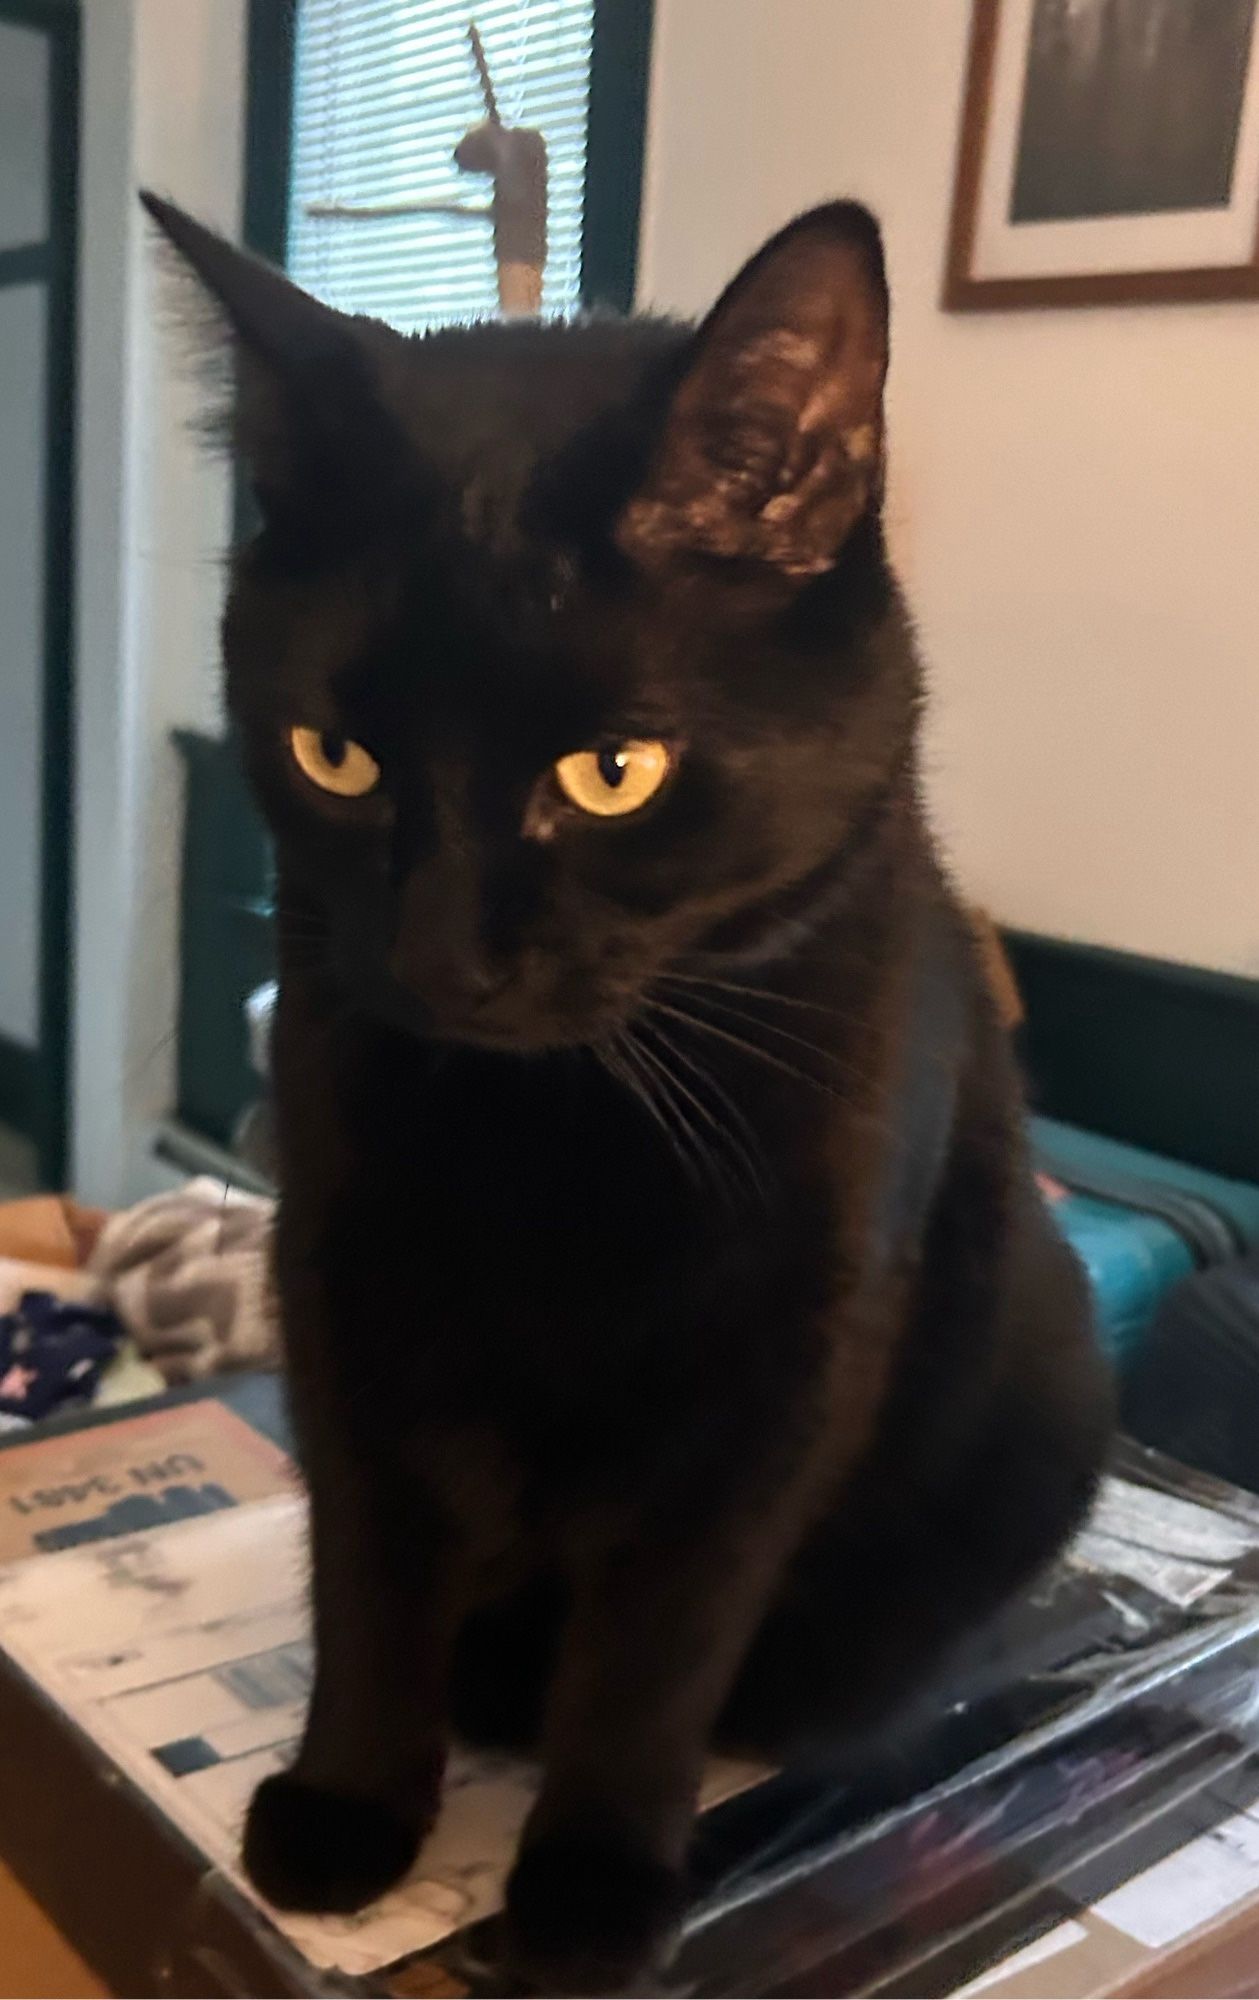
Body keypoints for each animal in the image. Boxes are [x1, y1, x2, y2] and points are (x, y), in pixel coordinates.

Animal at [142, 191, 1119, 2000]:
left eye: (610, 774)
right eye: (335, 760)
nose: (441, 958)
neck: (554, 1129)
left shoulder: (785, 1353)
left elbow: (660, 1639)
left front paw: (591, 1884)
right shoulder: (340, 1280)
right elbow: (368, 1570)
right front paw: (349, 1805)